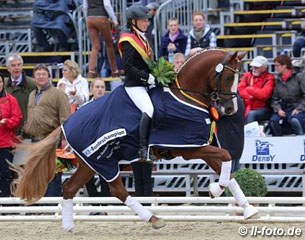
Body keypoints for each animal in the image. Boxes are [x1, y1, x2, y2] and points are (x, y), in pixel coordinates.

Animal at [13, 48, 256, 231]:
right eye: (228, 77)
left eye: (239, 77)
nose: (230, 109)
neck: (185, 97)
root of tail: (66, 123)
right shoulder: (189, 148)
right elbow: (226, 156)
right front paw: (215, 190)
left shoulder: (199, 145)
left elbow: (228, 170)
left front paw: (249, 209)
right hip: (103, 161)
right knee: (117, 191)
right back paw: (153, 219)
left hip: (89, 164)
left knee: (70, 188)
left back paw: (68, 227)